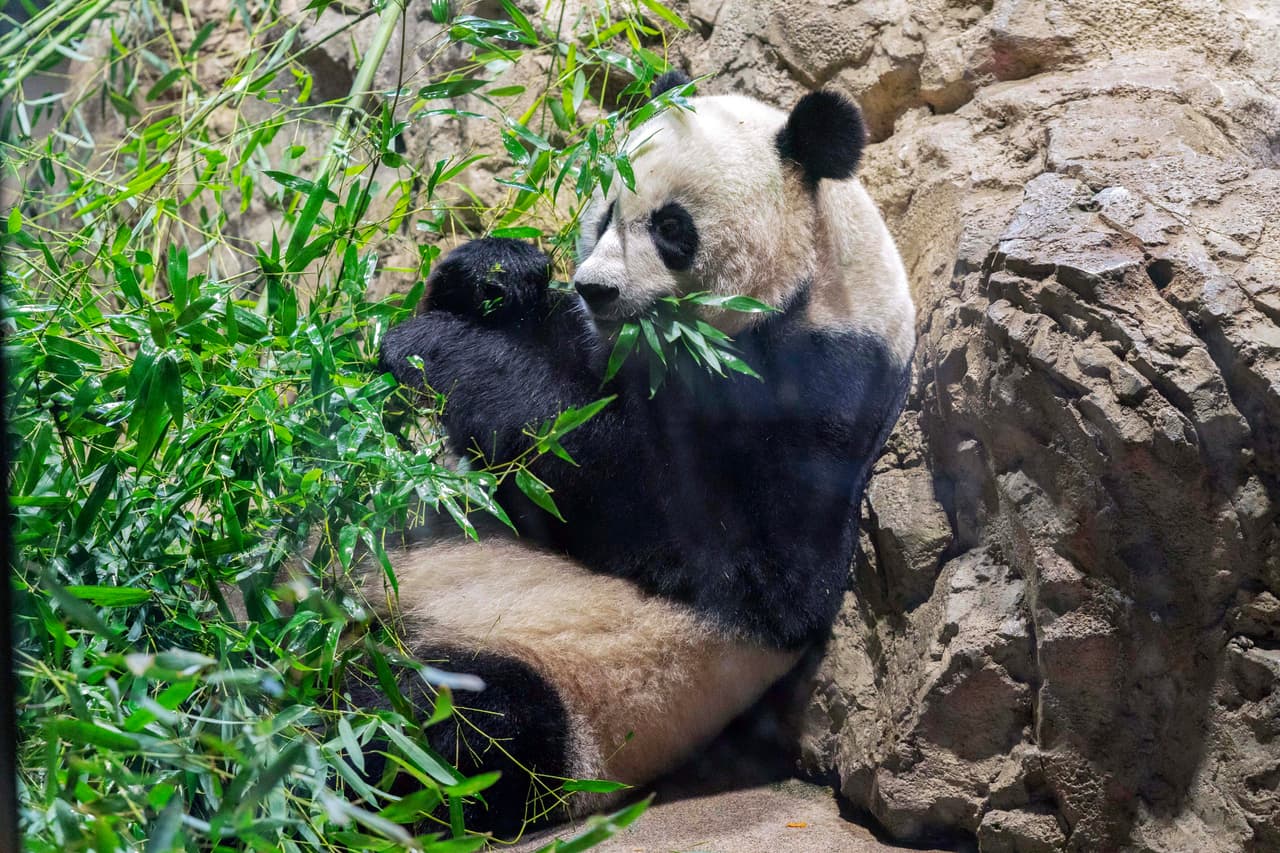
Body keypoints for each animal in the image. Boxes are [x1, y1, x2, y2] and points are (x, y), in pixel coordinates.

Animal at [360, 72, 916, 837]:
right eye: (603, 214)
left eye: (671, 226)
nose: (595, 287)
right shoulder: (599, 346)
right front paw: (496, 272)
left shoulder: (816, 398)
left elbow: (714, 550)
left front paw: (442, 348)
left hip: (570, 691)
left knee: (456, 725)